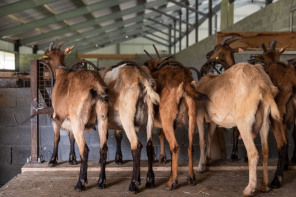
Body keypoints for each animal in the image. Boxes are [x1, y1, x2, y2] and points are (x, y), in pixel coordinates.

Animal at [41, 41, 110, 191]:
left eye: (47, 54)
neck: (62, 76)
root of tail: (96, 87)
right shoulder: (69, 119)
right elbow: (71, 137)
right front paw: (72, 159)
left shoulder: (57, 116)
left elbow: (56, 137)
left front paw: (52, 160)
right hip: (103, 117)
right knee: (103, 149)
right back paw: (101, 181)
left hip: (78, 119)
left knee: (85, 149)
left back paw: (80, 182)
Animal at [192, 62, 282, 195]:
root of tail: (262, 85)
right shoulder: (213, 121)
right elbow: (209, 137)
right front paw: (208, 160)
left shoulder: (199, 116)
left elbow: (202, 141)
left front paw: (200, 167)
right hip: (265, 119)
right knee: (265, 150)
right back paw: (264, 186)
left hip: (244, 121)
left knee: (253, 152)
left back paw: (249, 188)